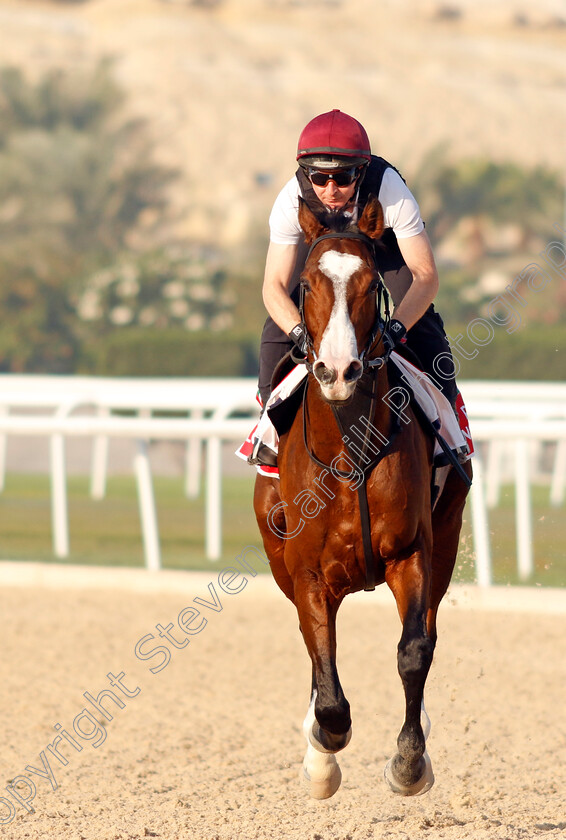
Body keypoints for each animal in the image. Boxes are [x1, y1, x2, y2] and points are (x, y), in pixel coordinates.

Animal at [255, 192, 472, 800]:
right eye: (306, 284)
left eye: (370, 281)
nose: (338, 370)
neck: (351, 453)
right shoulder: (306, 571)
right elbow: (325, 678)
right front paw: (321, 759)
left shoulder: (412, 551)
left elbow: (414, 651)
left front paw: (409, 763)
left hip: (447, 538)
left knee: (428, 629)